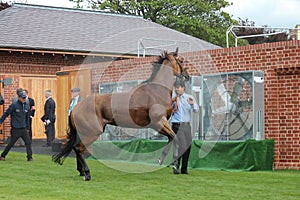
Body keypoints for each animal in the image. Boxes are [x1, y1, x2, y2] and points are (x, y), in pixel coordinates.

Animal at [53, 48, 190, 181]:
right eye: (181, 60)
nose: (187, 76)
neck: (157, 91)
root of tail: (75, 109)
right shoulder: (159, 122)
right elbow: (175, 138)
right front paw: (173, 166)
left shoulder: (160, 124)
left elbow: (172, 138)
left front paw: (164, 161)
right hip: (92, 132)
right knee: (79, 148)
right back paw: (87, 174)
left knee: (77, 148)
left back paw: (81, 171)